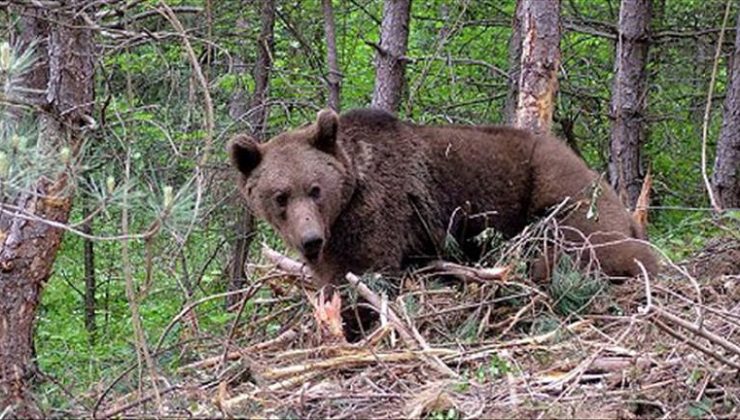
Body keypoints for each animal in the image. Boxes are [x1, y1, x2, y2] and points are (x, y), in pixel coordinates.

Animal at [228, 107, 656, 288]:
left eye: (315, 189)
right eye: (280, 196)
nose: (310, 240)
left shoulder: (381, 210)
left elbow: (367, 271)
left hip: (560, 191)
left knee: (580, 245)